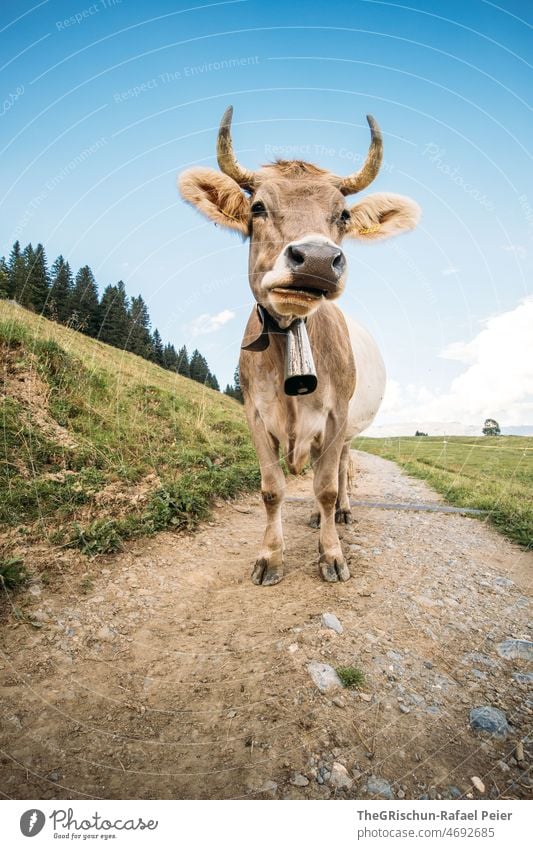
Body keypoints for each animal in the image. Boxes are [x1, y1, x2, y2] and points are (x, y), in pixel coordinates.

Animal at [179, 104, 420, 584]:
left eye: (343, 215)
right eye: (257, 206)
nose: (317, 260)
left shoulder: (335, 417)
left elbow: (324, 487)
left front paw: (332, 554)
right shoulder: (255, 414)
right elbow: (272, 490)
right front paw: (270, 556)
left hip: (349, 426)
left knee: (342, 467)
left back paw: (341, 513)